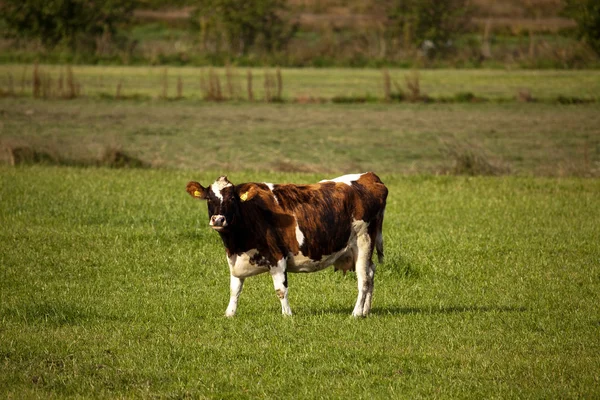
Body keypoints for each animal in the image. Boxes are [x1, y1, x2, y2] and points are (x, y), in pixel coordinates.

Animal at [185, 173, 386, 318]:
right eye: (209, 199)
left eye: (232, 199)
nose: (218, 219)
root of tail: (370, 176)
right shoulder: (235, 261)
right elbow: (235, 289)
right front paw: (229, 314)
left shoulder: (277, 257)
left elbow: (281, 290)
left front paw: (287, 315)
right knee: (371, 273)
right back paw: (366, 311)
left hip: (363, 242)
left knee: (363, 279)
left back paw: (356, 313)